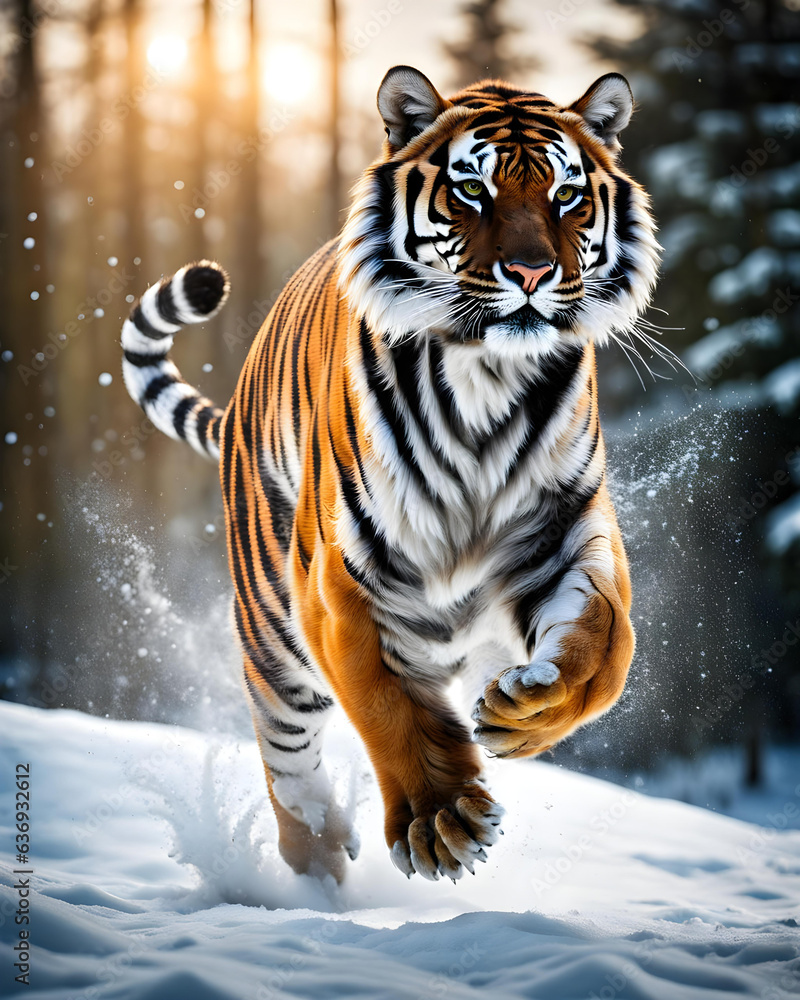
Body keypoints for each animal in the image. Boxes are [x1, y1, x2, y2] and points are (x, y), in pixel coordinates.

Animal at [121, 65, 659, 883]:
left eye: (567, 194)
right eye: (472, 189)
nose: (531, 271)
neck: (486, 376)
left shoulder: (566, 529)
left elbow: (606, 647)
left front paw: (524, 713)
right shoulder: (342, 578)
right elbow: (383, 700)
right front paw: (442, 822)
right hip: (273, 623)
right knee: (286, 746)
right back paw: (316, 862)